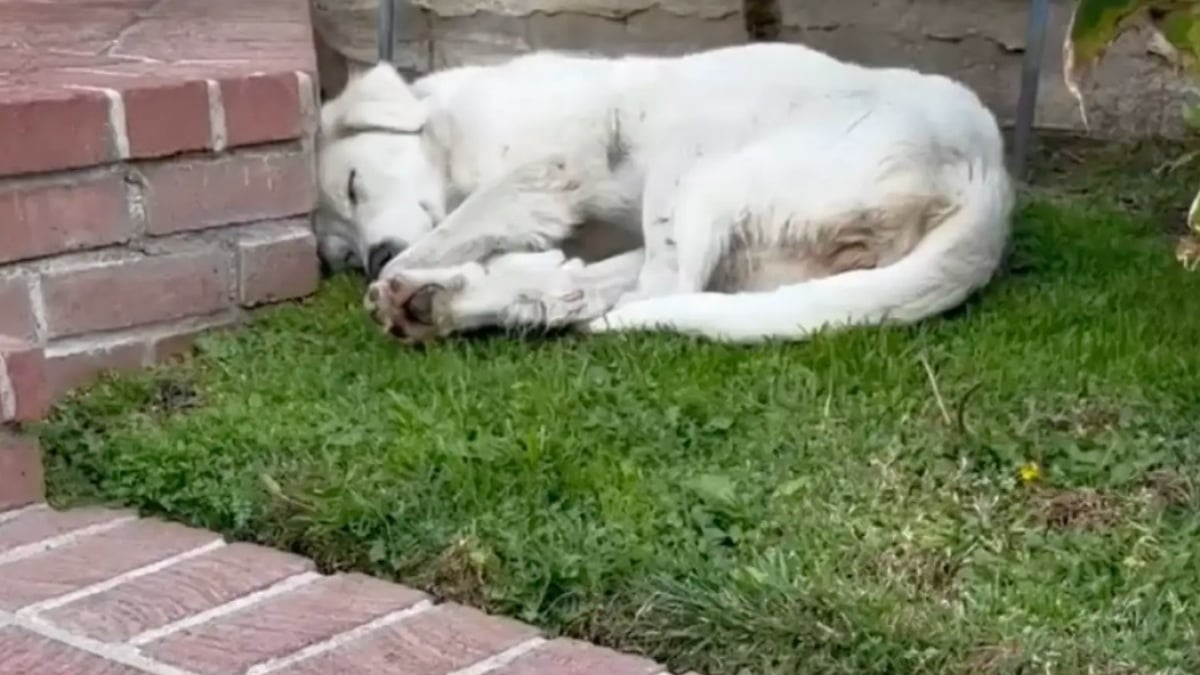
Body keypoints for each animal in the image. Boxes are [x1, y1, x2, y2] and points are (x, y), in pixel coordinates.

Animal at [316, 43, 1012, 341]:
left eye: (352, 186)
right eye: (338, 252)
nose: (370, 259)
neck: (448, 134)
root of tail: (989, 177)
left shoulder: (547, 166)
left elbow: (452, 228)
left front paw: (413, 266)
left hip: (696, 162)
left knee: (656, 290)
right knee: (636, 288)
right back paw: (443, 304)